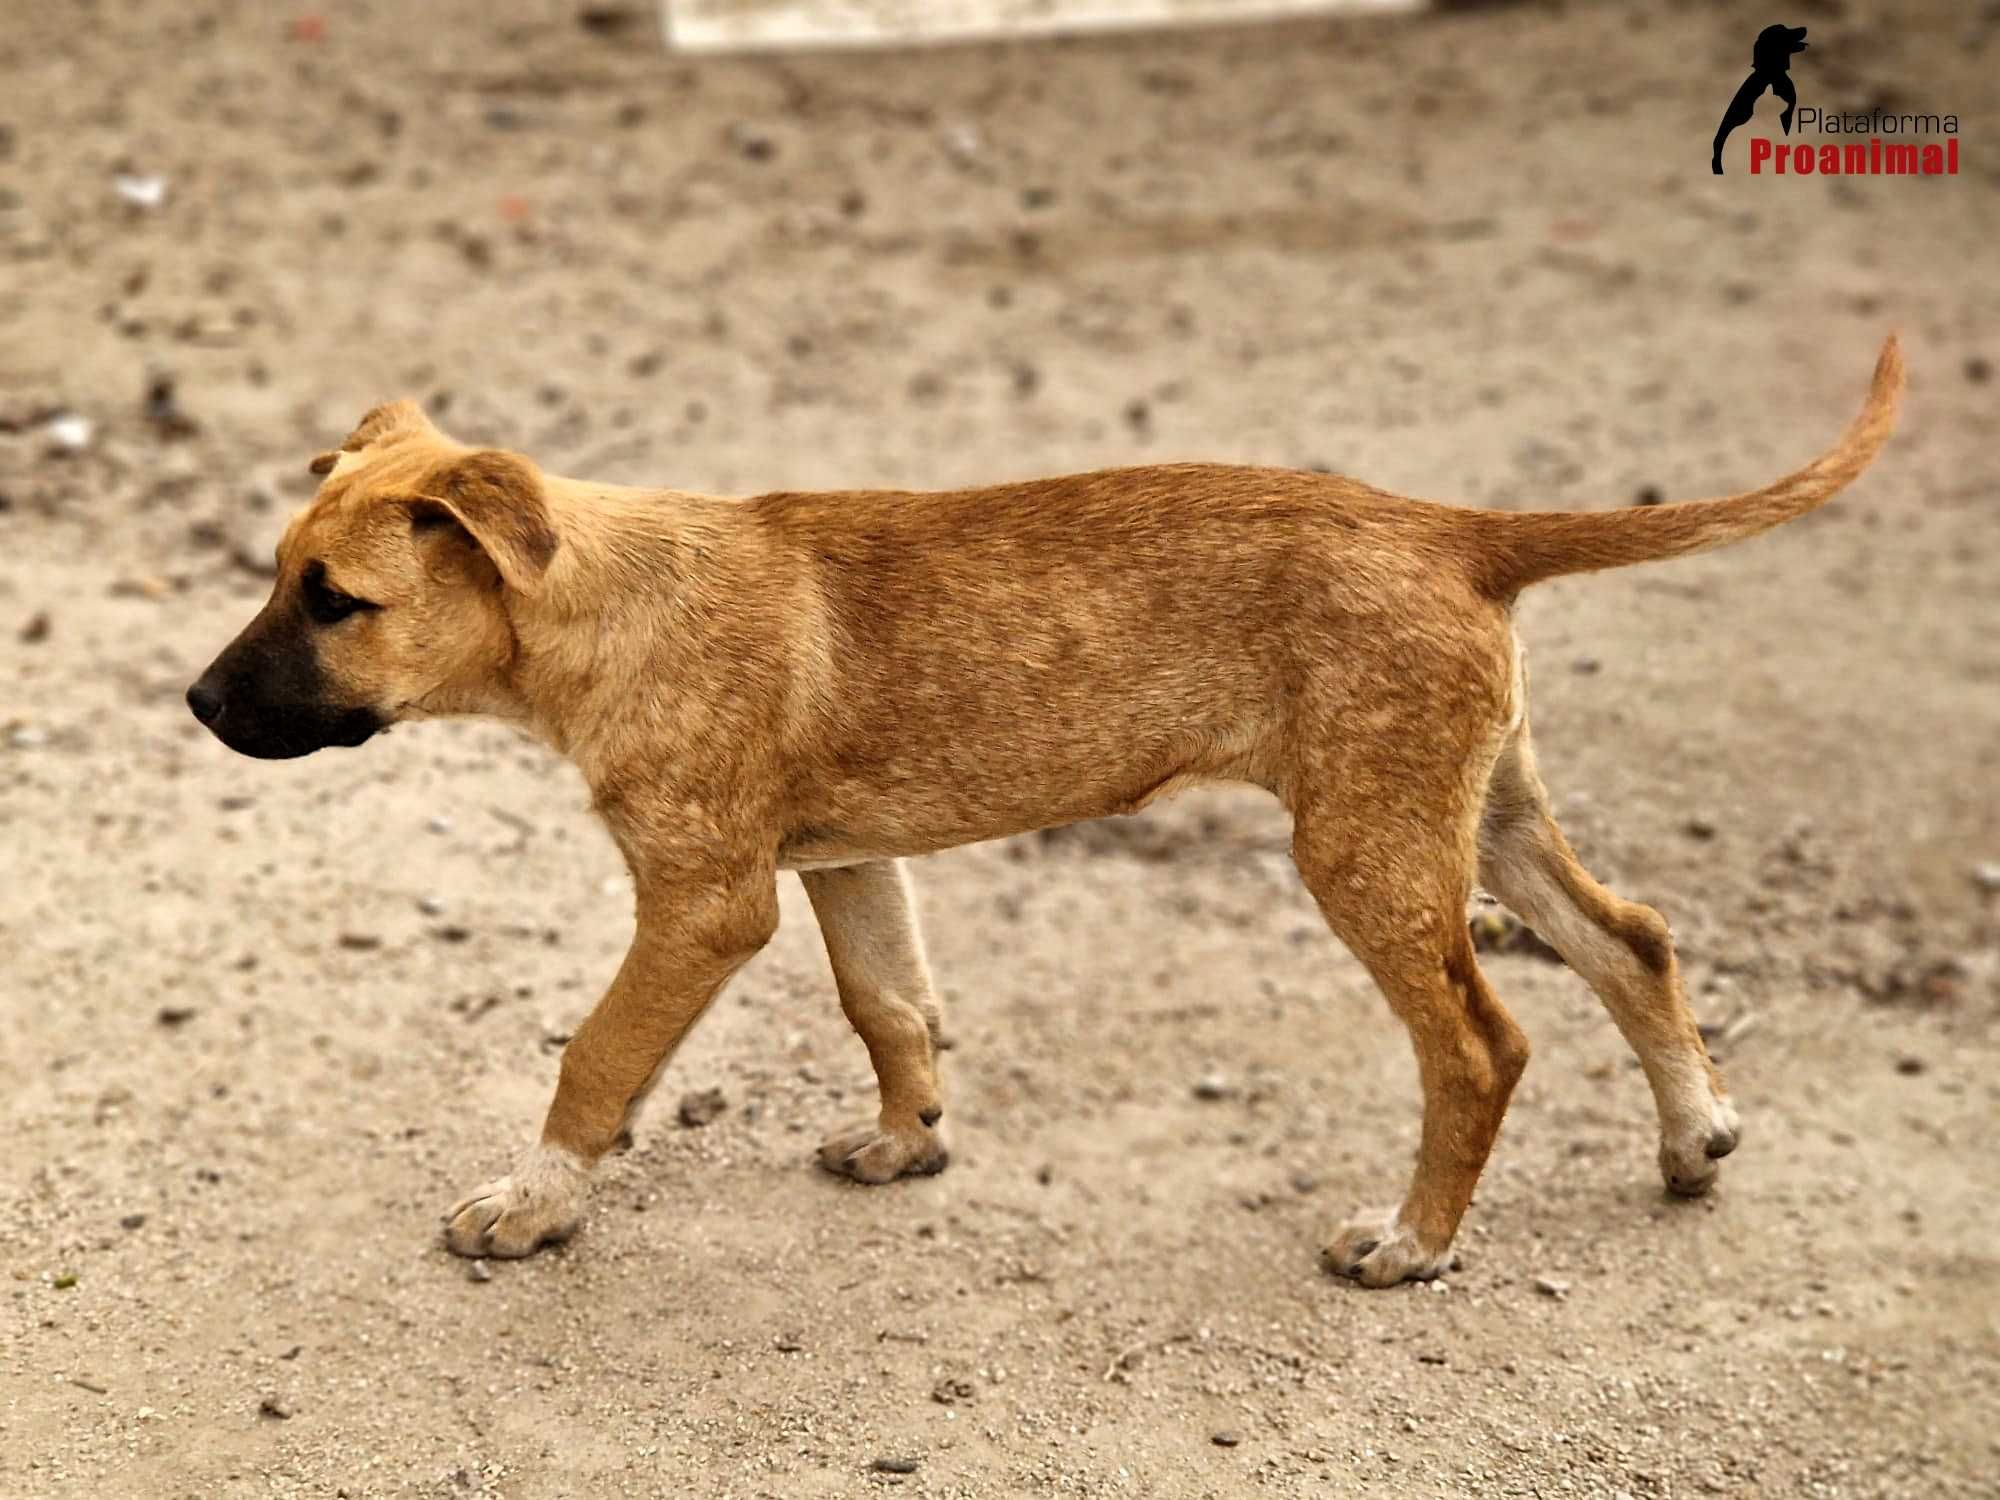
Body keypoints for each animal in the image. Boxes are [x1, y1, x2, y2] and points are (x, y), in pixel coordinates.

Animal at [191, 340, 1904, 1296]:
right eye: (278, 572)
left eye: (335, 602)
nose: (198, 709)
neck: (609, 600)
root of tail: (1448, 527)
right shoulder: (846, 865)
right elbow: (893, 1009)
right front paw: (909, 1144)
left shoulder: (702, 906)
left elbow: (596, 1061)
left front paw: (531, 1209)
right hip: (1476, 815)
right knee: (1637, 941)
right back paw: (1692, 1139)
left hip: (1365, 850)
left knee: (1485, 1045)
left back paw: (1415, 1244)